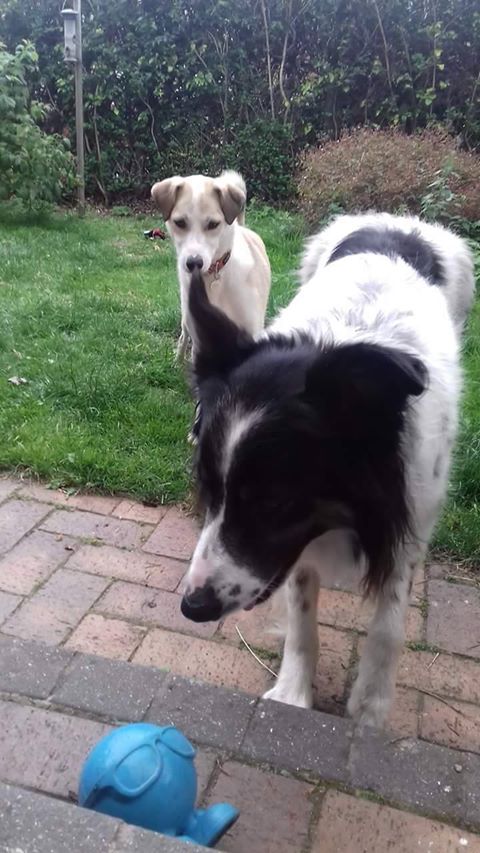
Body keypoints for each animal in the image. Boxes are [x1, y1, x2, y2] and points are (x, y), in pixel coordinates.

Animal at [151, 171, 271, 360]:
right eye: (179, 222)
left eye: (213, 224)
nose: (194, 263)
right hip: (186, 317)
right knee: (184, 336)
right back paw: (178, 359)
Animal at [179, 211, 474, 729]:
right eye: (208, 487)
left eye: (273, 500)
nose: (193, 607)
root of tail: (400, 220)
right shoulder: (299, 547)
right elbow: (301, 615)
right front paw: (294, 693)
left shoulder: (411, 514)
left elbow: (389, 626)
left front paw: (371, 711)